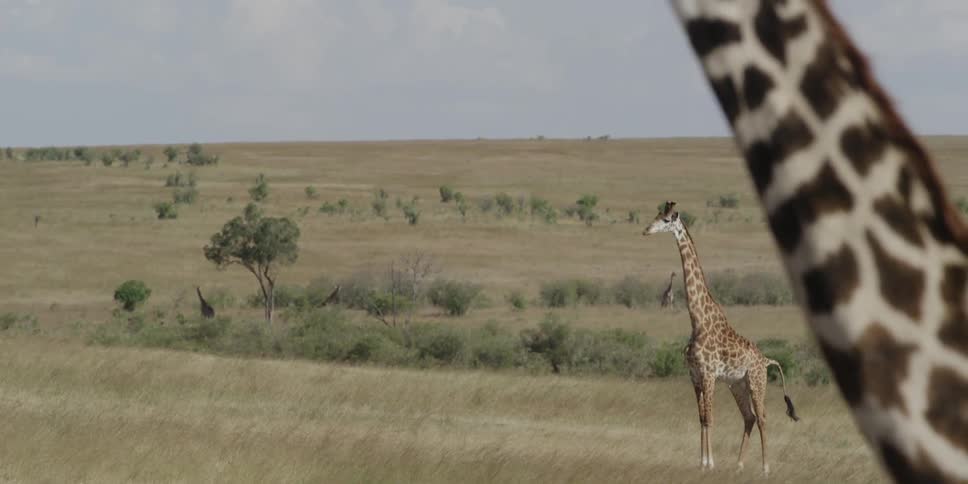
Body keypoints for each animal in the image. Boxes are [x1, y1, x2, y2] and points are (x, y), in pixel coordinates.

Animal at [644, 201, 799, 473]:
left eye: (666, 220)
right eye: (657, 215)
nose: (646, 230)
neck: (697, 320)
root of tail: (767, 360)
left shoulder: (708, 374)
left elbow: (710, 417)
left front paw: (710, 463)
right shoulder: (694, 376)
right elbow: (702, 417)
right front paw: (701, 463)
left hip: (756, 381)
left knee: (763, 417)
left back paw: (765, 467)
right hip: (737, 384)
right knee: (749, 417)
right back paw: (738, 464)